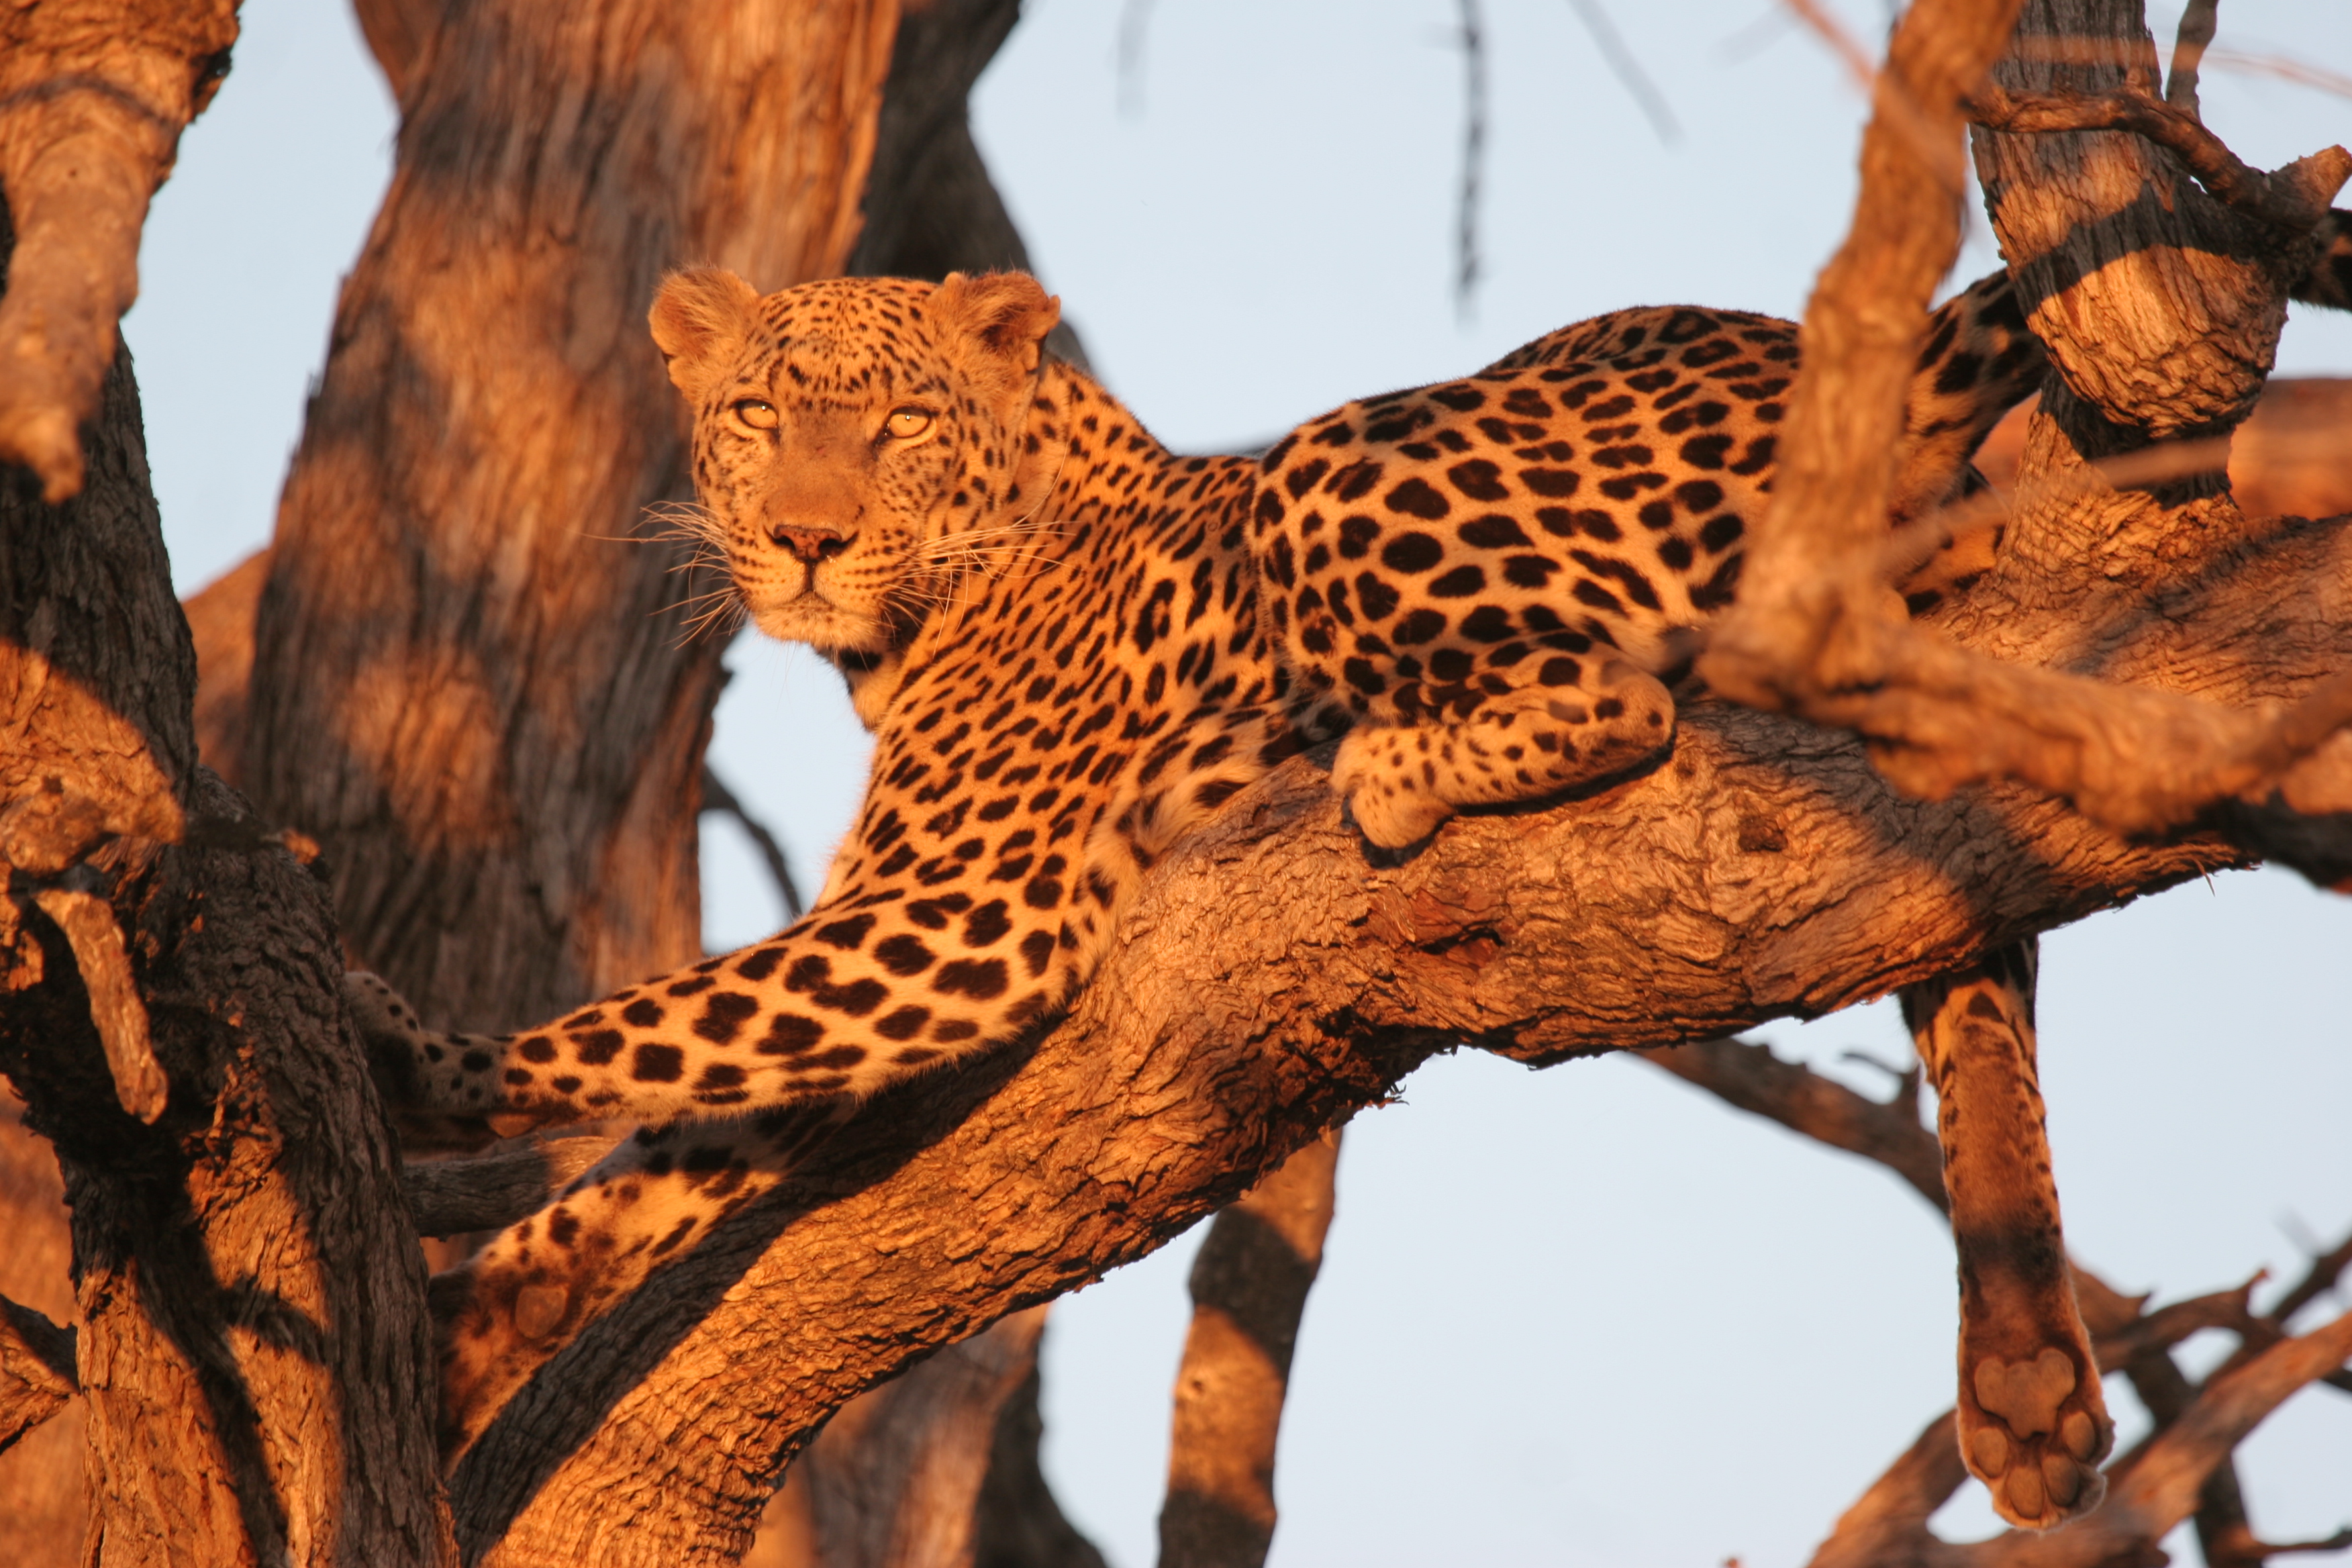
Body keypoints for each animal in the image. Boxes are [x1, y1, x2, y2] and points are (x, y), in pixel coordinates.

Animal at [347, 241, 2341, 1518]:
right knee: (1969, 952)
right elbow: (677, 1116)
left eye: (900, 422)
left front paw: (421, 1068)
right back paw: (2027, 1379)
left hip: (1356, 457)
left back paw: (1380, 763)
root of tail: (1820, 352)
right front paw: (456, 1335)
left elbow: (657, 1025)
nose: (804, 539)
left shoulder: (971, 913)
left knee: (1630, 694)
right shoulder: (888, 967)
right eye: (758, 411)